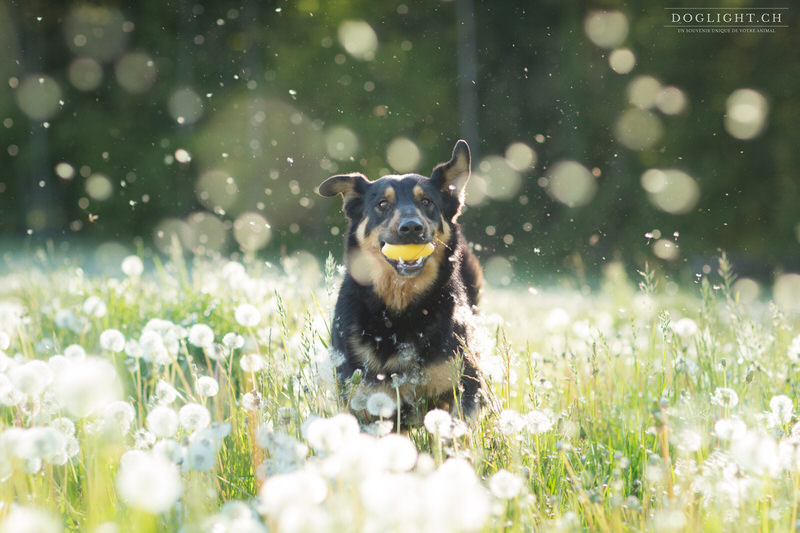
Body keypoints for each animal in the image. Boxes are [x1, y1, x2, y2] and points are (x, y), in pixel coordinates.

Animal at [316, 139, 484, 422]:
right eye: (383, 204)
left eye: (426, 201)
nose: (412, 227)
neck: (400, 307)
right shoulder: (364, 400)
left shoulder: (465, 386)